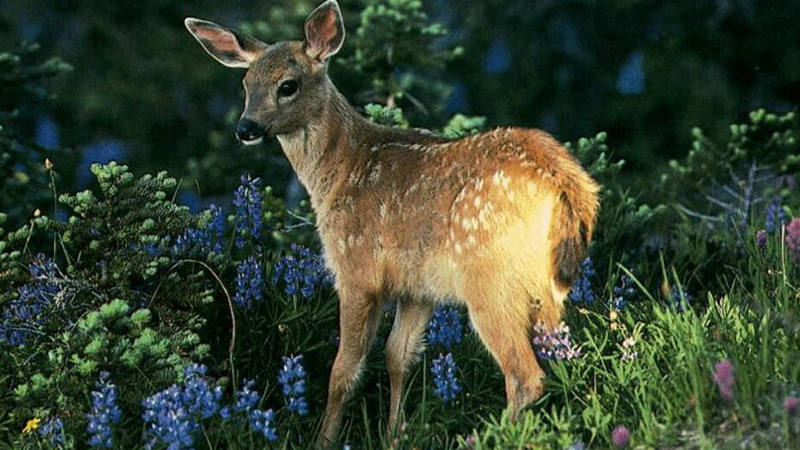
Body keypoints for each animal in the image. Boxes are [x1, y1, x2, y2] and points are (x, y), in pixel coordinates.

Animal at [186, 0, 600, 446]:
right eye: (246, 83)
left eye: (288, 85)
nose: (246, 128)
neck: (341, 171)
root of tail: (564, 179)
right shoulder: (417, 286)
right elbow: (397, 356)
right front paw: (393, 434)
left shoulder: (356, 271)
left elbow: (343, 372)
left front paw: (324, 439)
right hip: (545, 284)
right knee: (561, 359)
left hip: (491, 277)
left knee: (525, 375)